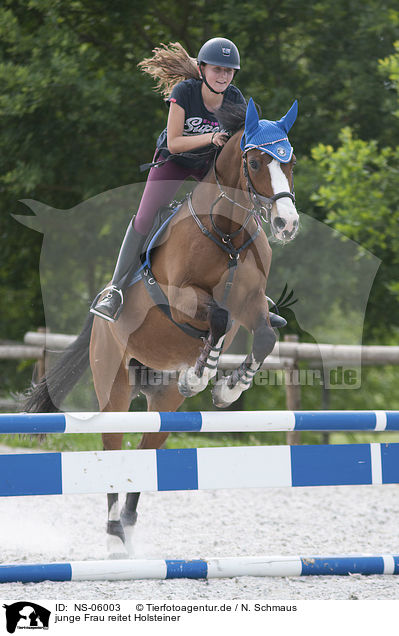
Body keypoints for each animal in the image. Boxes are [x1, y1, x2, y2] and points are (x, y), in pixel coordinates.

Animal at [25, 95, 298, 556]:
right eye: (255, 162)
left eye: (290, 161)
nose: (287, 224)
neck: (225, 232)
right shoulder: (181, 298)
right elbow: (219, 318)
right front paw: (202, 374)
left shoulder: (252, 303)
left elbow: (263, 334)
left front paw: (228, 388)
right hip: (114, 386)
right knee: (113, 446)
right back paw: (114, 532)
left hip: (163, 404)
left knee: (145, 451)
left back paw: (128, 525)